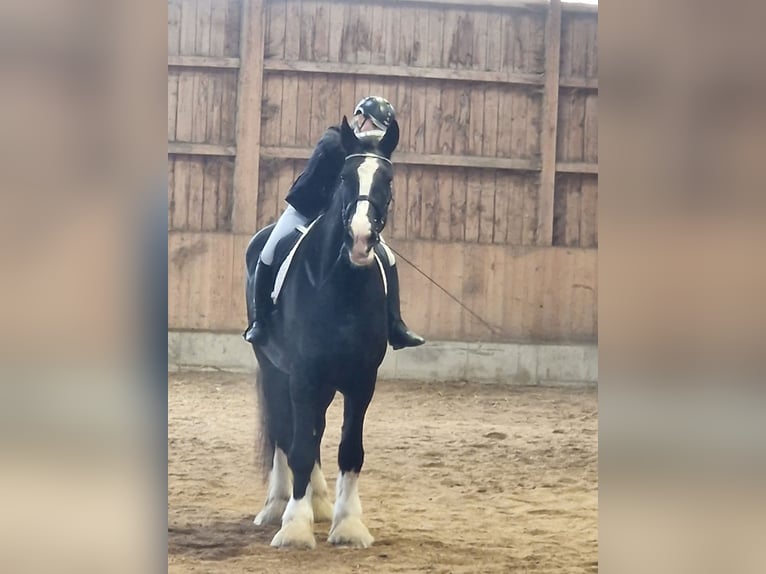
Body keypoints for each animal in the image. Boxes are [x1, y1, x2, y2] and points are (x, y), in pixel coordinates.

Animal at [246, 116, 402, 548]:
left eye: (388, 179)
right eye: (345, 177)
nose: (362, 239)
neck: (341, 286)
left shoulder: (362, 380)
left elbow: (350, 450)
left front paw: (348, 524)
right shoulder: (302, 375)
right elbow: (298, 444)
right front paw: (294, 527)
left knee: (315, 430)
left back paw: (317, 501)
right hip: (274, 370)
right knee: (285, 431)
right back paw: (277, 505)